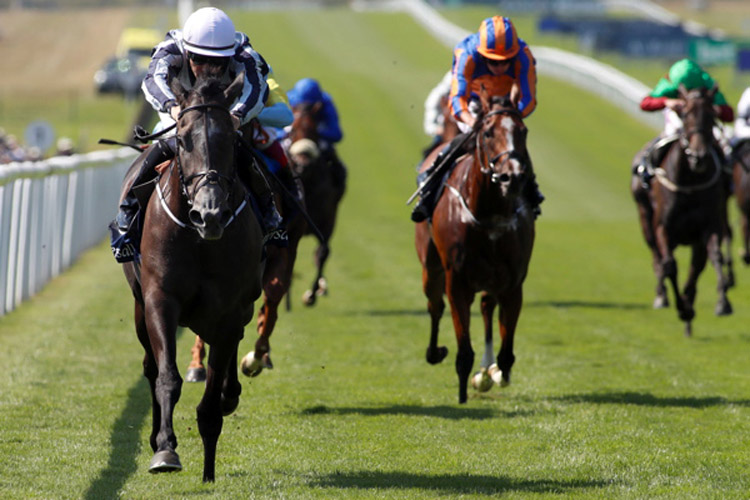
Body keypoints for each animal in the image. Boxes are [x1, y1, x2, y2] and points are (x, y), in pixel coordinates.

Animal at [288, 100, 346, 306]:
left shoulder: (327, 220)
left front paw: (311, 294)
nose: (302, 164)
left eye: (314, 130)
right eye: (292, 129)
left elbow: (323, 252)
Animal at [418, 92, 536, 404]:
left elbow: (506, 354)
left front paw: (494, 373)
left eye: (523, 131)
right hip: (430, 265)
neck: (488, 213)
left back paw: (486, 371)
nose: (512, 176)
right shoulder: (457, 280)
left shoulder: (512, 283)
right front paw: (462, 394)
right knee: (434, 304)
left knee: (485, 308)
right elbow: (463, 352)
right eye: (488, 132)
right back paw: (435, 352)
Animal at [632, 85, 732, 336]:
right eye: (684, 114)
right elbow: (669, 264)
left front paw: (721, 303)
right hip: (645, 218)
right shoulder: (663, 228)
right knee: (657, 257)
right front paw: (681, 308)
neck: (690, 182)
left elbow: (709, 261)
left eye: (711, 116)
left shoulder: (707, 229)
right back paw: (662, 296)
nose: (699, 157)